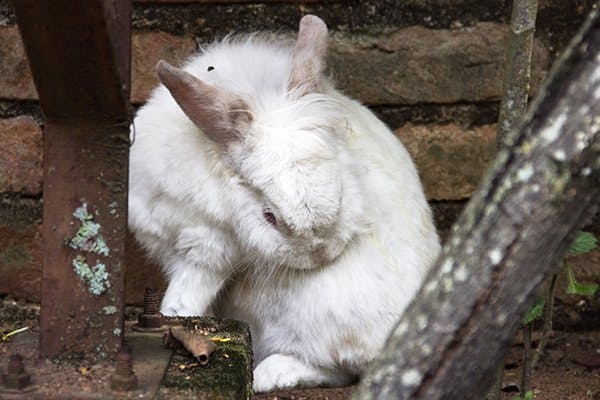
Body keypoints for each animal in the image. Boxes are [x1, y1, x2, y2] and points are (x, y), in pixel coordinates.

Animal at [129, 14, 440, 390]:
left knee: (338, 366)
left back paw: (268, 374)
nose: (321, 254)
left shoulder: (205, 251)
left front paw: (173, 317)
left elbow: (188, 293)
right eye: (270, 216)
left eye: (341, 193)